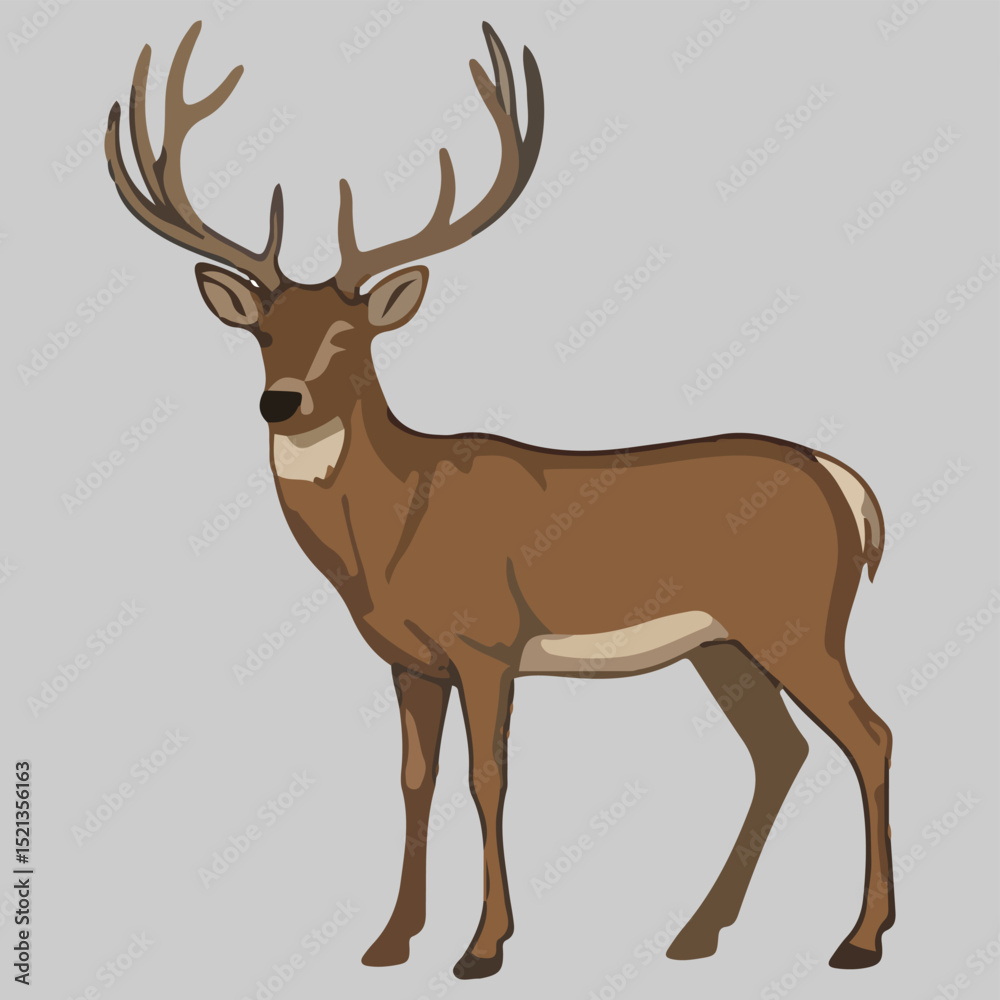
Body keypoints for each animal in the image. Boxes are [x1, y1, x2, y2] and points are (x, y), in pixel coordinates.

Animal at [106, 19, 894, 981]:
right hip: (725, 644)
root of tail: (846, 484)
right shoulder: (409, 660)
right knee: (781, 751)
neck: (393, 531)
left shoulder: (486, 639)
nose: (278, 402)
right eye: (260, 332)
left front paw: (483, 946)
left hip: (798, 619)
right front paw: (389, 941)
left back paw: (859, 938)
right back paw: (698, 933)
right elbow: (415, 780)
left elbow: (491, 778)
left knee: (868, 735)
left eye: (348, 335)